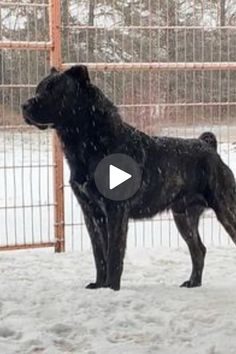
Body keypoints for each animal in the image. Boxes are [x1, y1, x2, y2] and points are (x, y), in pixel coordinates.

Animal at [21, 65, 236, 290]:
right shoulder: (91, 212)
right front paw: (99, 285)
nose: (24, 105)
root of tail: (209, 146)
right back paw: (193, 283)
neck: (88, 143)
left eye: (53, 91)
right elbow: (99, 254)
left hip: (225, 208)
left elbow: (114, 254)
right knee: (198, 249)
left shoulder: (115, 210)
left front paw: (111, 288)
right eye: (39, 88)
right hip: (183, 215)